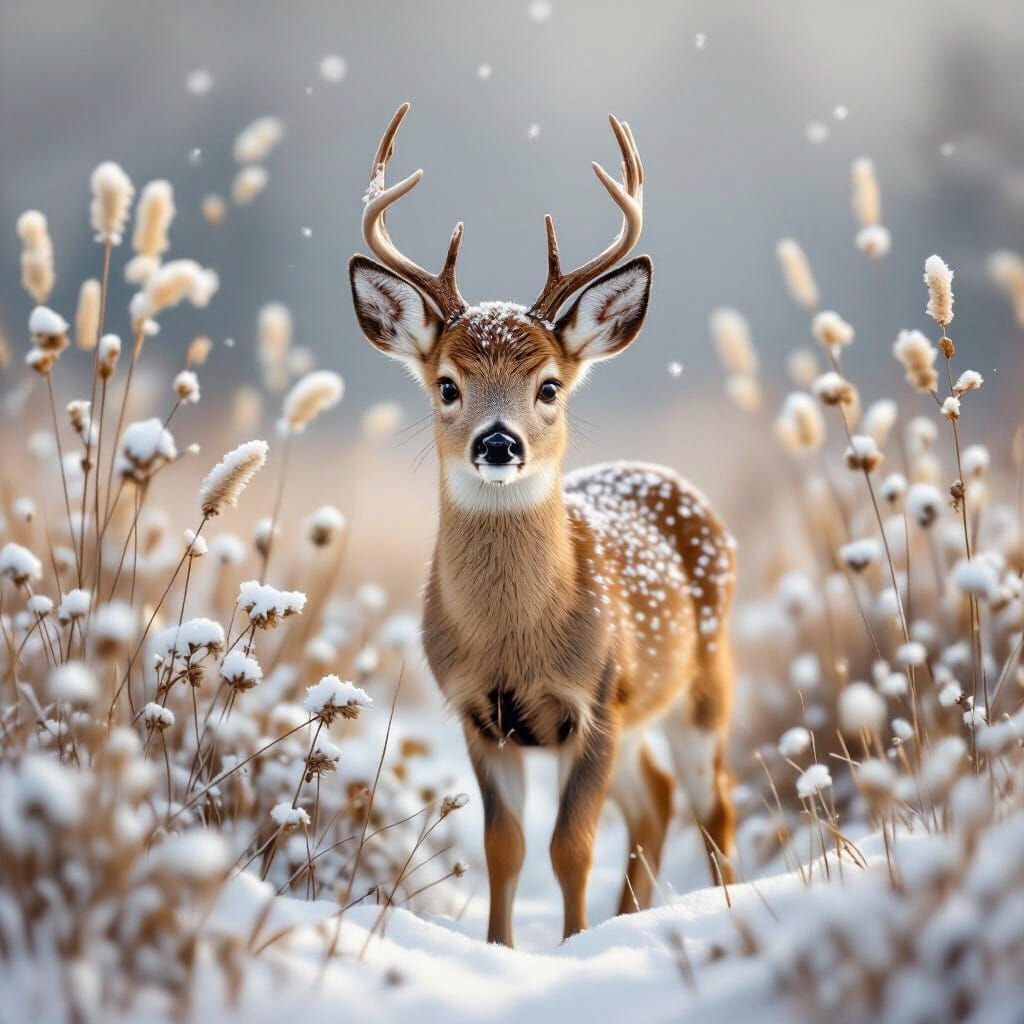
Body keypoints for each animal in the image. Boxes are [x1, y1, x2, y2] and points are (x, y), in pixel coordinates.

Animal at [349, 104, 737, 947]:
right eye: (448, 385)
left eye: (550, 386)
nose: (499, 443)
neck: (517, 641)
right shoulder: (477, 713)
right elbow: (506, 846)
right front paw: (504, 945)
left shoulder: (596, 700)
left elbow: (571, 845)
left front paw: (569, 945)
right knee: (658, 799)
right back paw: (634, 918)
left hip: (701, 684)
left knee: (712, 801)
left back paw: (721, 909)